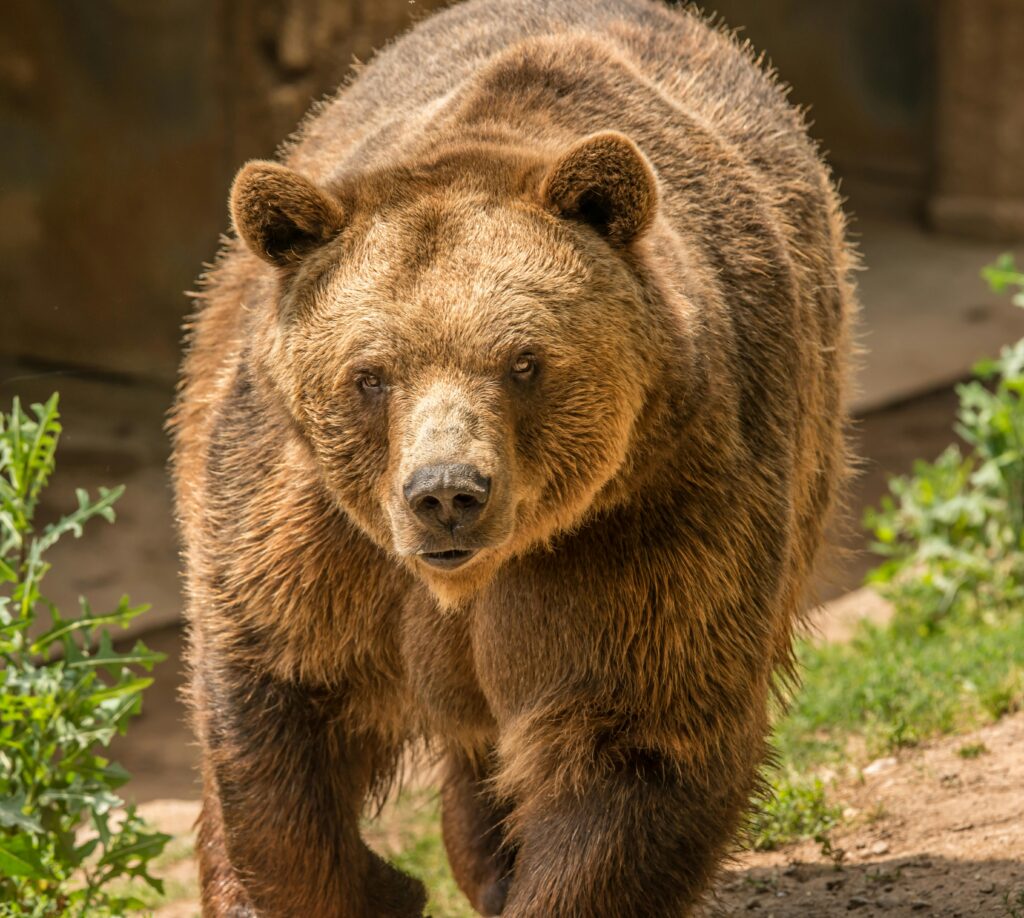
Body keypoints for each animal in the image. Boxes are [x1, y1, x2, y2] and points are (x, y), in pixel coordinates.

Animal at [170, 0, 856, 915]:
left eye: (524, 362)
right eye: (370, 374)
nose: (445, 494)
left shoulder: (654, 516)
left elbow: (638, 738)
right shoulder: (306, 531)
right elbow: (280, 711)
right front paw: (382, 884)